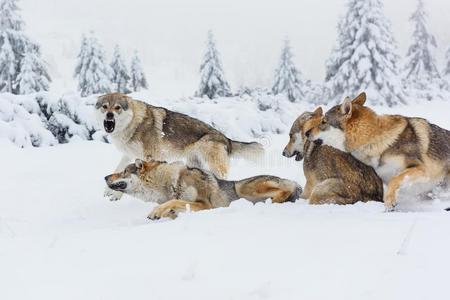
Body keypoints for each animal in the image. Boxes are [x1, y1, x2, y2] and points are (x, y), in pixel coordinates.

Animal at [95, 93, 264, 202]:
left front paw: (117, 194)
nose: (109, 115)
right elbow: (118, 169)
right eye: (105, 107)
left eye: (117, 108)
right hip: (194, 164)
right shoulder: (128, 154)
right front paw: (109, 191)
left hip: (214, 165)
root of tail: (226, 139)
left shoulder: (149, 156)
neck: (134, 125)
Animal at [104, 158, 302, 219]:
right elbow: (173, 205)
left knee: (284, 191)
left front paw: (156, 211)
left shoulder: (206, 205)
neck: (171, 182)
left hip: (242, 188)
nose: (105, 177)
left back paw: (274, 202)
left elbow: (173, 201)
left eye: (123, 171)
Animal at [310, 92, 450, 211]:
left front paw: (389, 202)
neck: (376, 139)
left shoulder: (421, 169)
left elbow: (396, 179)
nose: (307, 133)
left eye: (323, 121)